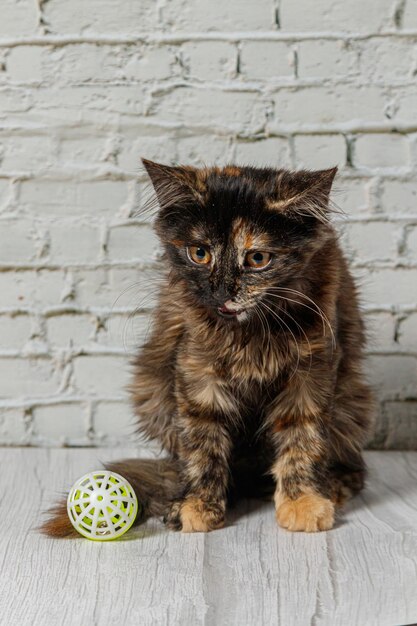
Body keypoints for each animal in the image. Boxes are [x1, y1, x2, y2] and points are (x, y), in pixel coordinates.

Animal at [42, 158, 374, 532]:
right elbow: (203, 446)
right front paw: (197, 505)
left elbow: (303, 440)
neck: (249, 334)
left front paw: (302, 502)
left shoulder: (310, 374)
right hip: (152, 395)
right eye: (199, 253)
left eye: (258, 258)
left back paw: (335, 484)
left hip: (354, 401)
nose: (222, 291)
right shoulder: (197, 371)